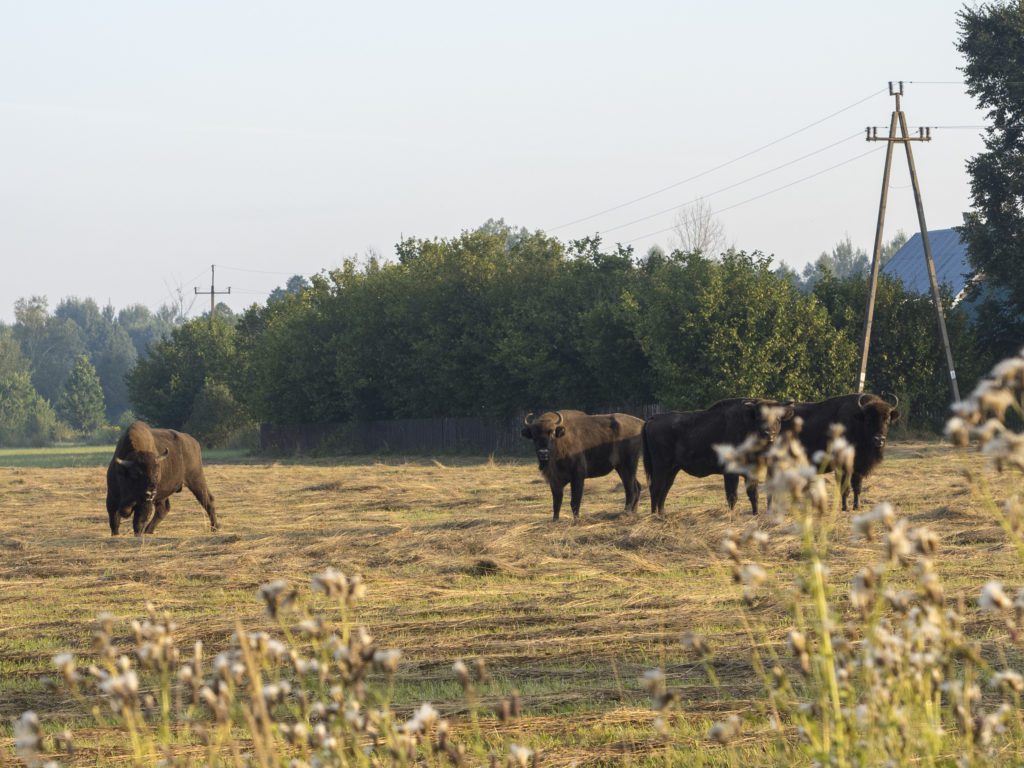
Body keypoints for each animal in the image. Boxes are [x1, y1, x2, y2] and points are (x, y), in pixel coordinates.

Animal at [638, 399, 798, 520]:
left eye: (778, 418)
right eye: (759, 417)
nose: (768, 434)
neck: (748, 424)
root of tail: (652, 419)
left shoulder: (751, 471)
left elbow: (753, 493)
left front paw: (756, 514)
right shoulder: (731, 473)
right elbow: (732, 496)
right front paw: (732, 516)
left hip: (672, 469)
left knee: (664, 489)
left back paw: (662, 514)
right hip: (661, 467)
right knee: (656, 488)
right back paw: (654, 515)